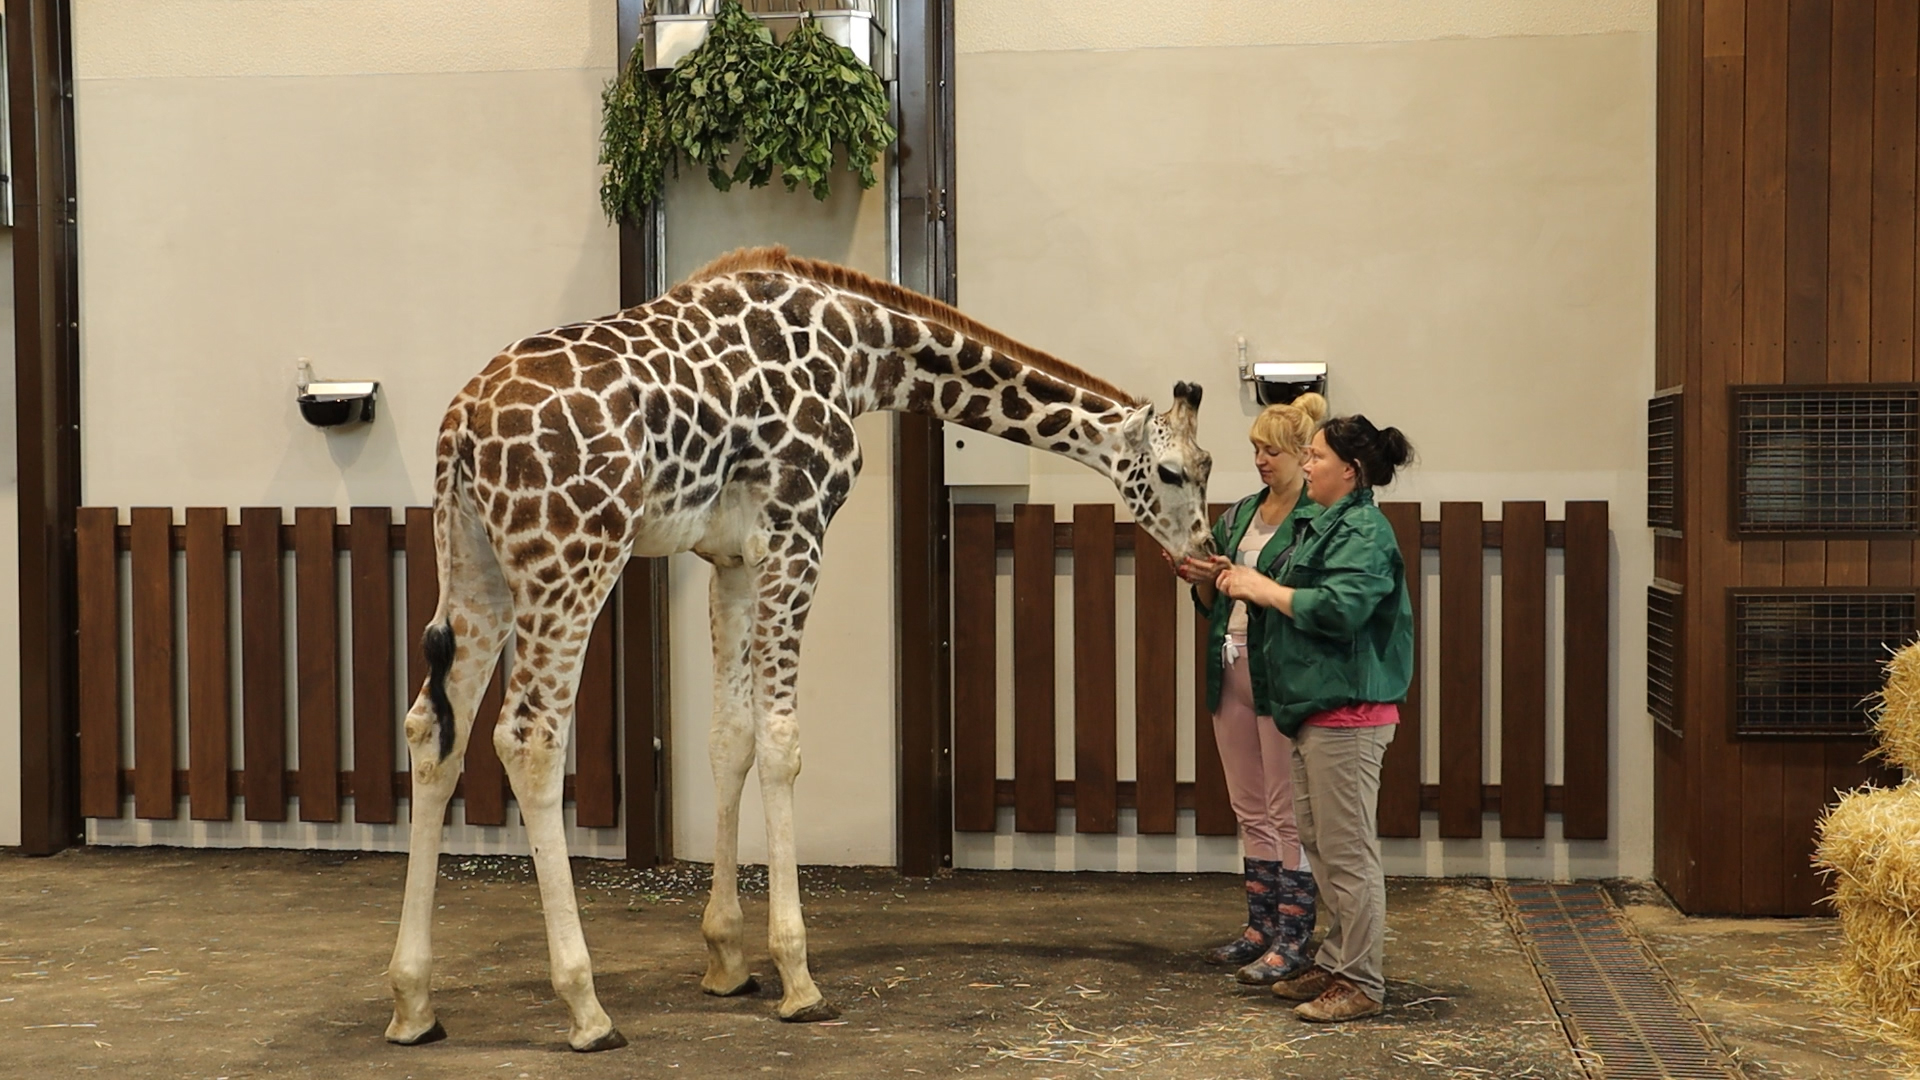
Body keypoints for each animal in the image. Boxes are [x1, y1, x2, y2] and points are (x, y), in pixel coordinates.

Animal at [383, 246, 1216, 1051]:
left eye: (1208, 469)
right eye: (1173, 472)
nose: (1204, 561)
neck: (862, 350)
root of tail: (461, 422)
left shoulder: (729, 557)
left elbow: (730, 738)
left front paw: (726, 959)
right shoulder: (797, 532)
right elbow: (781, 743)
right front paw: (797, 977)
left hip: (477, 565)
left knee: (432, 729)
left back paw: (413, 1001)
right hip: (572, 557)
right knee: (528, 736)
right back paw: (586, 1009)